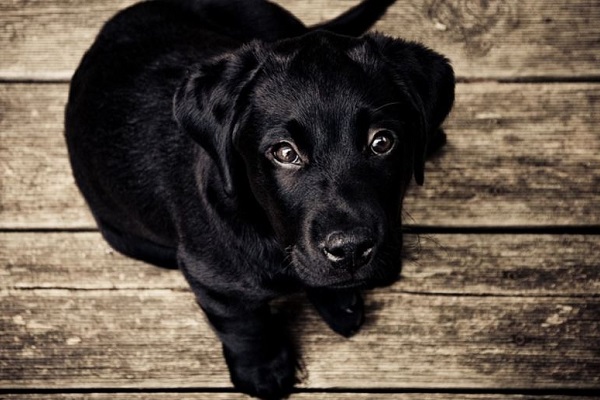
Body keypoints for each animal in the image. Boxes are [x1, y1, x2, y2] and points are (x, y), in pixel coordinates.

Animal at [64, 1, 454, 398]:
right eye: (285, 153)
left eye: (382, 142)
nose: (350, 250)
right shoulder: (211, 280)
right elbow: (244, 326)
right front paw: (263, 370)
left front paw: (337, 300)